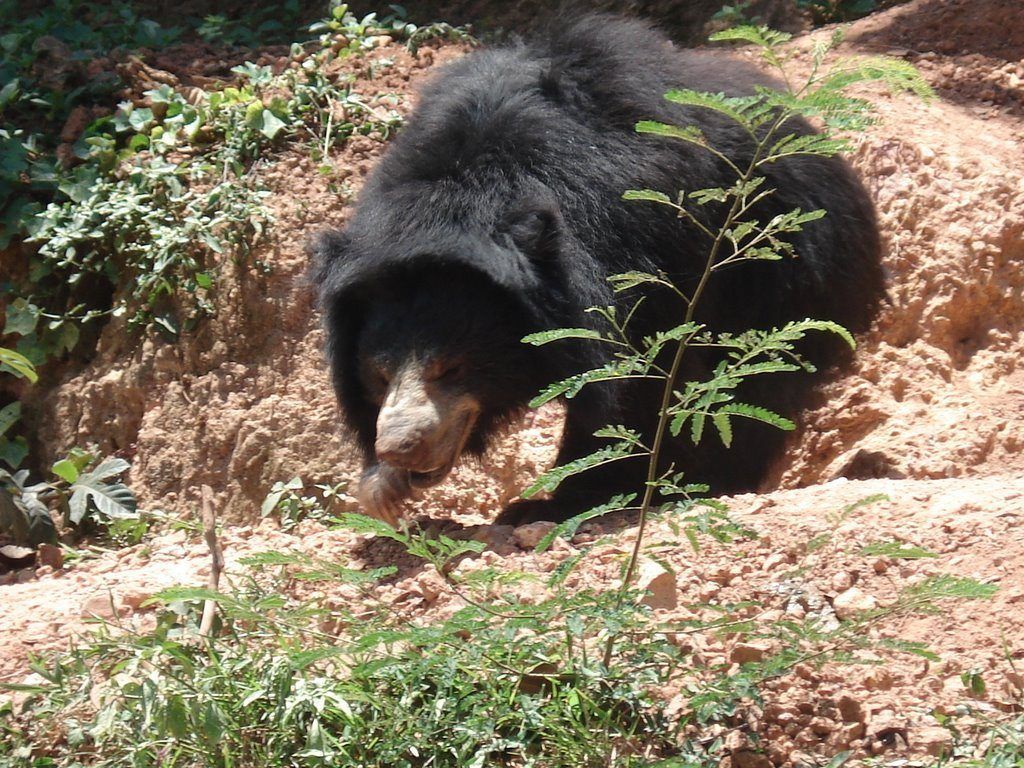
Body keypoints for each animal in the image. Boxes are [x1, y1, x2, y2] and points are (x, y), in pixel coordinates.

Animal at [312, 14, 883, 527]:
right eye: (378, 375)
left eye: (450, 368)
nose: (399, 447)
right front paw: (382, 489)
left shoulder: (633, 249)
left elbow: (632, 381)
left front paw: (556, 501)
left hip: (784, 265)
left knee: (751, 378)